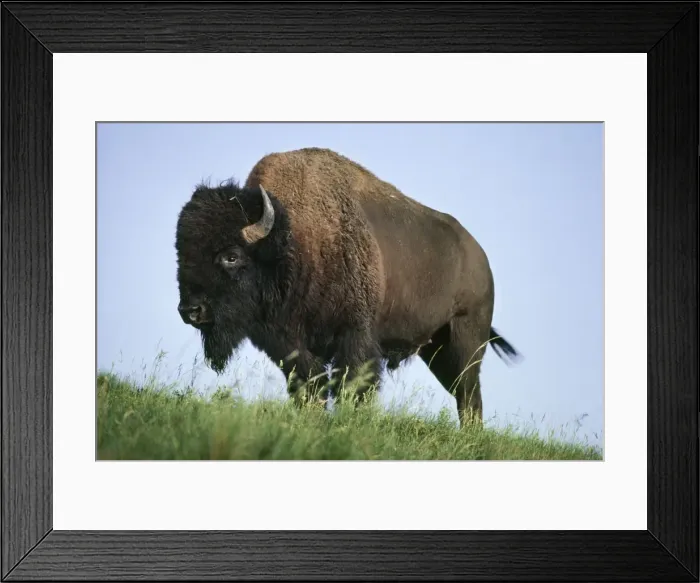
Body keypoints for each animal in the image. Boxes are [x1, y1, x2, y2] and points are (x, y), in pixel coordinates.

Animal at [175, 147, 520, 426]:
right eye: (181, 252)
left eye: (231, 256)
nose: (190, 310)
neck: (293, 241)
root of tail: (480, 258)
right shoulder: (291, 346)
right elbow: (309, 387)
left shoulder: (354, 337)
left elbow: (354, 386)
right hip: (435, 349)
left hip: (465, 341)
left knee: (468, 394)